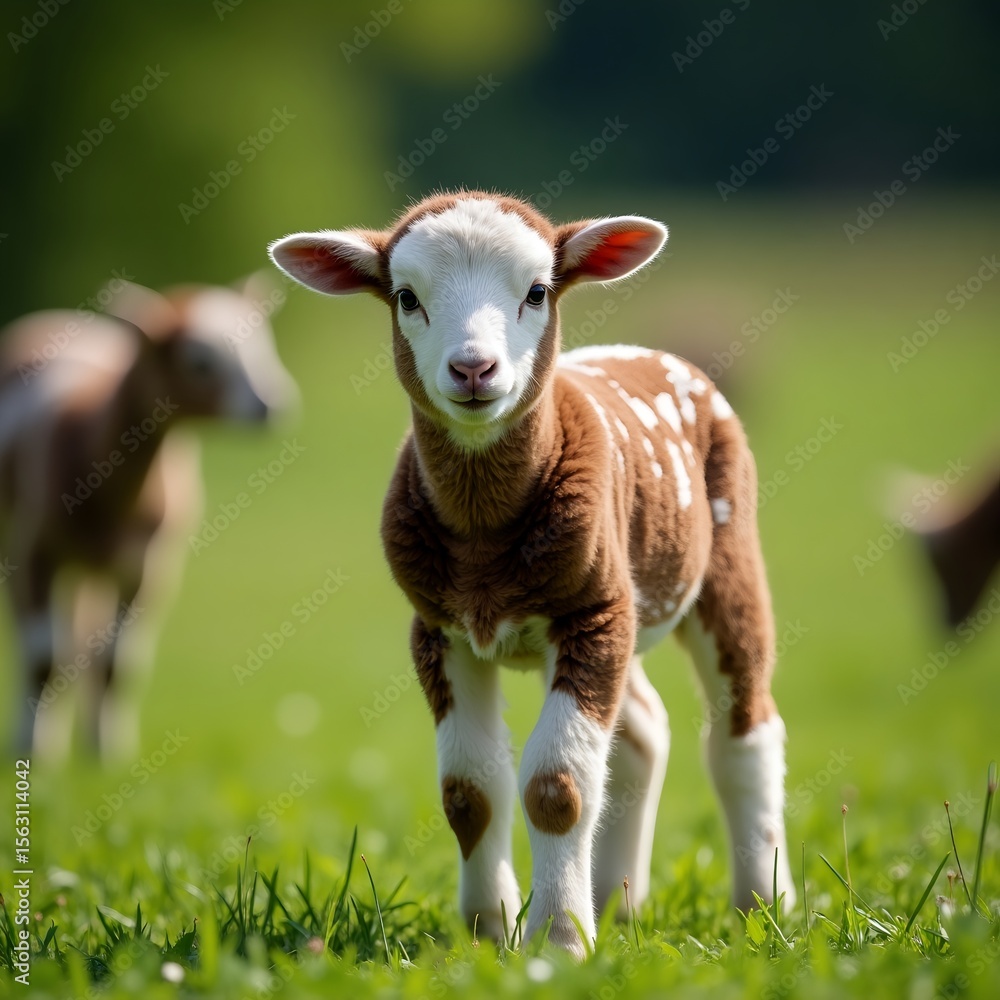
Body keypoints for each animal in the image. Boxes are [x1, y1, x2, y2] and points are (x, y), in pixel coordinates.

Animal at [0, 276, 297, 762]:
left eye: (262, 345)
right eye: (198, 361)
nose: (270, 406)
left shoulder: (143, 565)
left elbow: (116, 663)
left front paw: (106, 755)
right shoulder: (34, 551)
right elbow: (43, 656)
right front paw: (31, 754)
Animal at [269, 191, 794, 957]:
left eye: (537, 291)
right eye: (406, 297)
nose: (473, 369)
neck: (485, 544)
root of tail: (652, 354)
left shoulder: (592, 615)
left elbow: (557, 784)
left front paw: (559, 939)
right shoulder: (440, 630)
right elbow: (469, 790)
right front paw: (488, 932)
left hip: (724, 555)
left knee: (742, 734)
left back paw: (764, 904)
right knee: (643, 732)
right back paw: (619, 902)